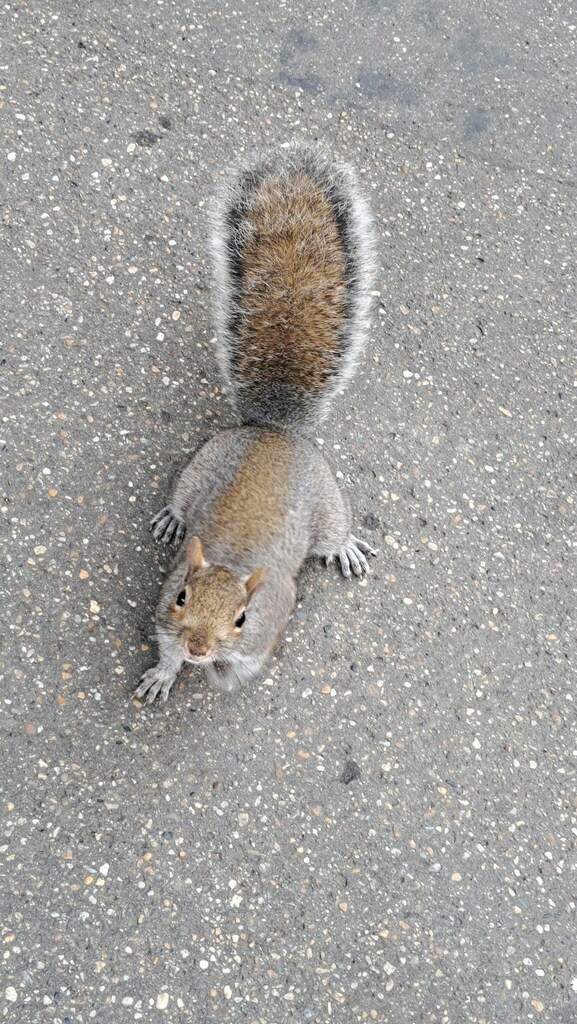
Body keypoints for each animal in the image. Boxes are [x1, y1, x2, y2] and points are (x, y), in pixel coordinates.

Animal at [135, 144, 379, 704]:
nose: (200, 647)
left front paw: (213, 671)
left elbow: (245, 665)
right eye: (181, 597)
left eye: (243, 618)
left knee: (334, 532)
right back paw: (173, 518)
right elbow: (165, 648)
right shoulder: (165, 616)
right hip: (198, 468)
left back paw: (345, 547)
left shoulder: (268, 627)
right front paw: (165, 672)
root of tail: (273, 431)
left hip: (325, 504)